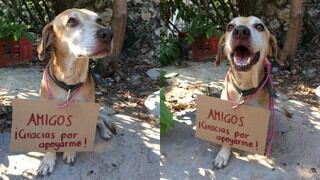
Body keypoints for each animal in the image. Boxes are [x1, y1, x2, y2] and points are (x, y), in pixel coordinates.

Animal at [36, 8, 115, 176]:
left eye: (99, 20)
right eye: (71, 21)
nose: (108, 33)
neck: (69, 83)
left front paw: (69, 152)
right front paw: (48, 160)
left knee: (99, 120)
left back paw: (105, 132)